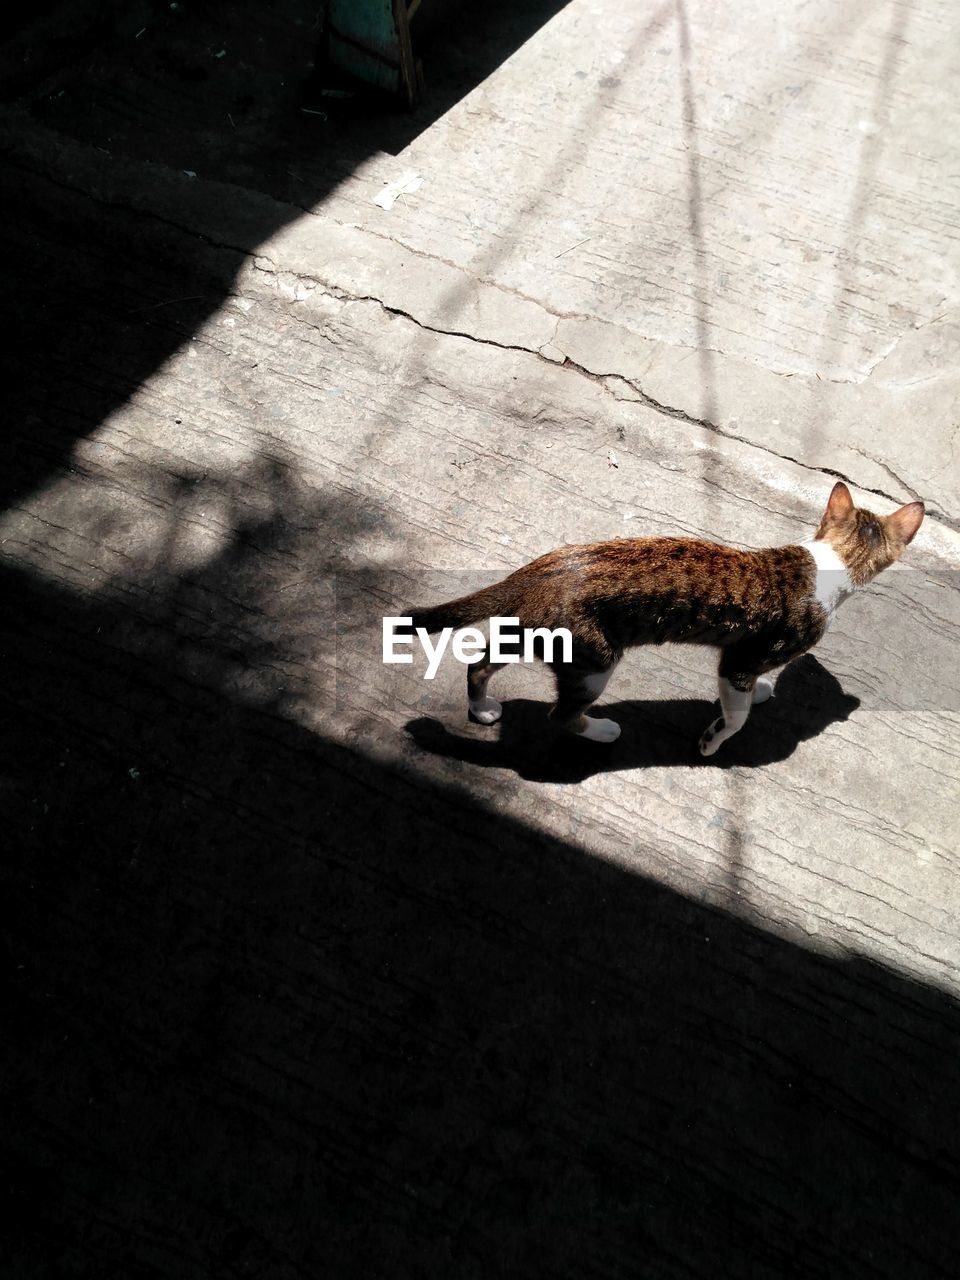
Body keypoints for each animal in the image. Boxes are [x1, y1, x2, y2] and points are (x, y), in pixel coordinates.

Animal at [409, 483, 926, 752]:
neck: (828, 560)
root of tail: (543, 567)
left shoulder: (742, 659)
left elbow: (749, 693)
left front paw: (762, 691)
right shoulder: (738, 662)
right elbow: (735, 717)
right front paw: (714, 740)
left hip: (534, 634)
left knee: (479, 664)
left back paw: (482, 708)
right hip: (594, 660)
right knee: (561, 713)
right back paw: (602, 730)